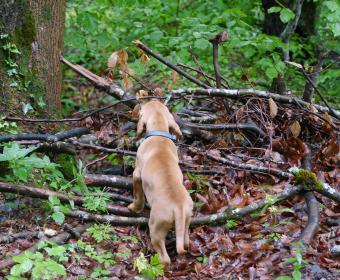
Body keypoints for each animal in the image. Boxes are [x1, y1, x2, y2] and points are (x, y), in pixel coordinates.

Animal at [127, 100, 193, 264]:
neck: (158, 133)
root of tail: (178, 207)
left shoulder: (137, 175)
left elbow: (138, 196)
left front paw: (134, 208)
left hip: (156, 227)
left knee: (165, 258)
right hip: (187, 220)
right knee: (185, 241)